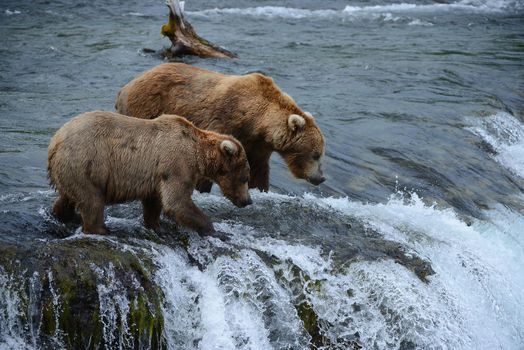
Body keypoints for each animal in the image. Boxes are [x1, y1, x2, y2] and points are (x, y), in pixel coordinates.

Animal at [46, 110, 251, 234]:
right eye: (245, 178)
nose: (248, 201)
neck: (197, 153)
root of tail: (55, 141)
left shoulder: (158, 173)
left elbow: (154, 201)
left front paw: (156, 225)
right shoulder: (176, 164)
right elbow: (177, 202)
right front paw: (213, 229)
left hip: (69, 170)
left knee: (68, 197)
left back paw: (62, 215)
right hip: (87, 162)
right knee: (92, 201)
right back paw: (101, 229)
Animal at [116, 63, 326, 194]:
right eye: (315, 155)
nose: (320, 178)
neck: (257, 121)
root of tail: (125, 87)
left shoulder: (258, 146)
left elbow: (259, 171)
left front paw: (260, 189)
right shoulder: (225, 122)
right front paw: (202, 189)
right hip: (147, 107)